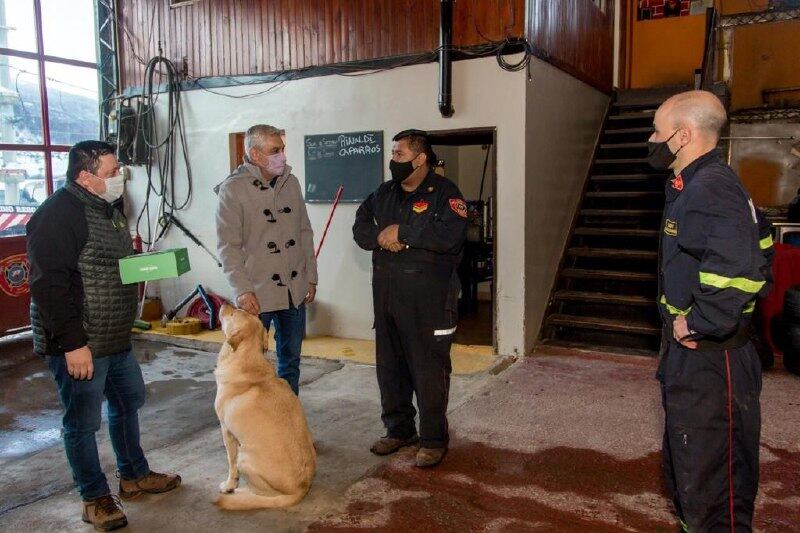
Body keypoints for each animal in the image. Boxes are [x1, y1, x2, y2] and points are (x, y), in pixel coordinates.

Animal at [214, 304, 318, 508]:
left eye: (234, 312)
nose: (224, 304)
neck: (247, 359)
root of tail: (301, 489)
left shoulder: (226, 431)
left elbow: (230, 464)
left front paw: (229, 485)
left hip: (244, 456)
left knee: (264, 494)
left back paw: (242, 493)